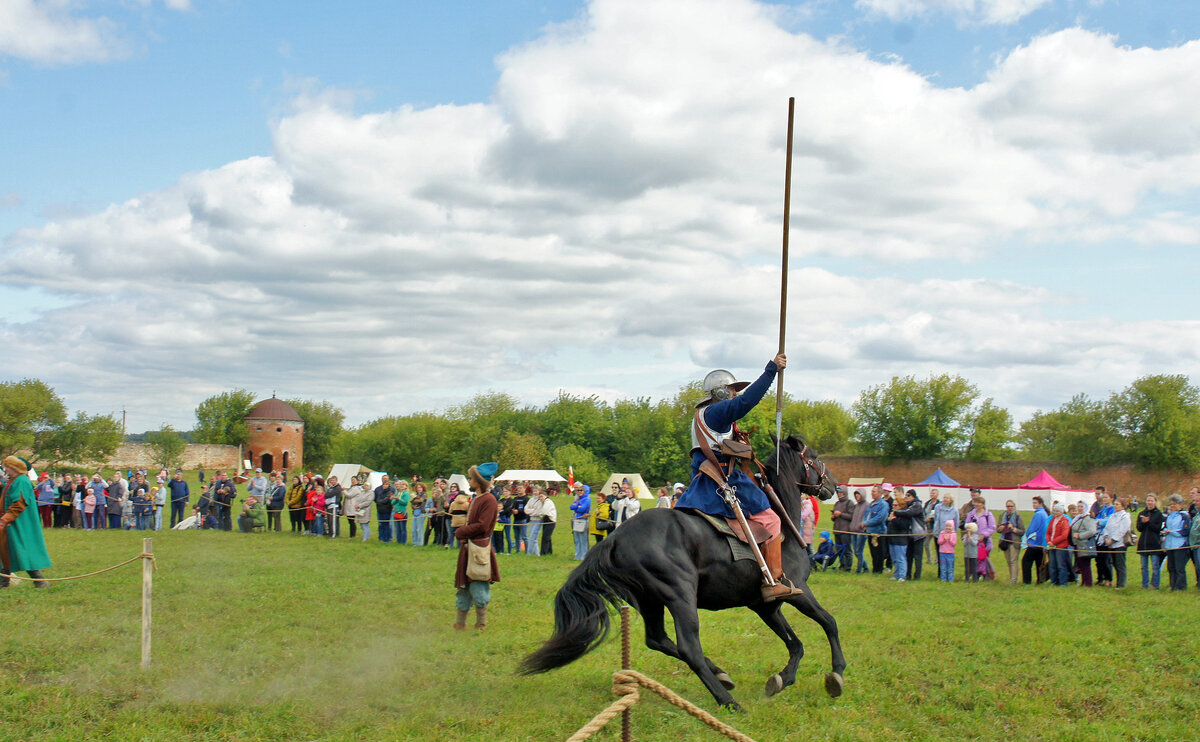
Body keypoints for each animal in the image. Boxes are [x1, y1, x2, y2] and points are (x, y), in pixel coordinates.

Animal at [518, 437, 844, 705]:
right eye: (815, 457)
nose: (835, 487)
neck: (784, 525)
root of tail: (616, 537)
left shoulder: (765, 605)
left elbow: (795, 644)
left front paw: (782, 679)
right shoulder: (797, 590)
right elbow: (828, 623)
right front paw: (836, 674)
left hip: (650, 600)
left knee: (658, 640)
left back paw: (721, 674)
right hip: (680, 596)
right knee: (688, 648)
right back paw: (727, 700)